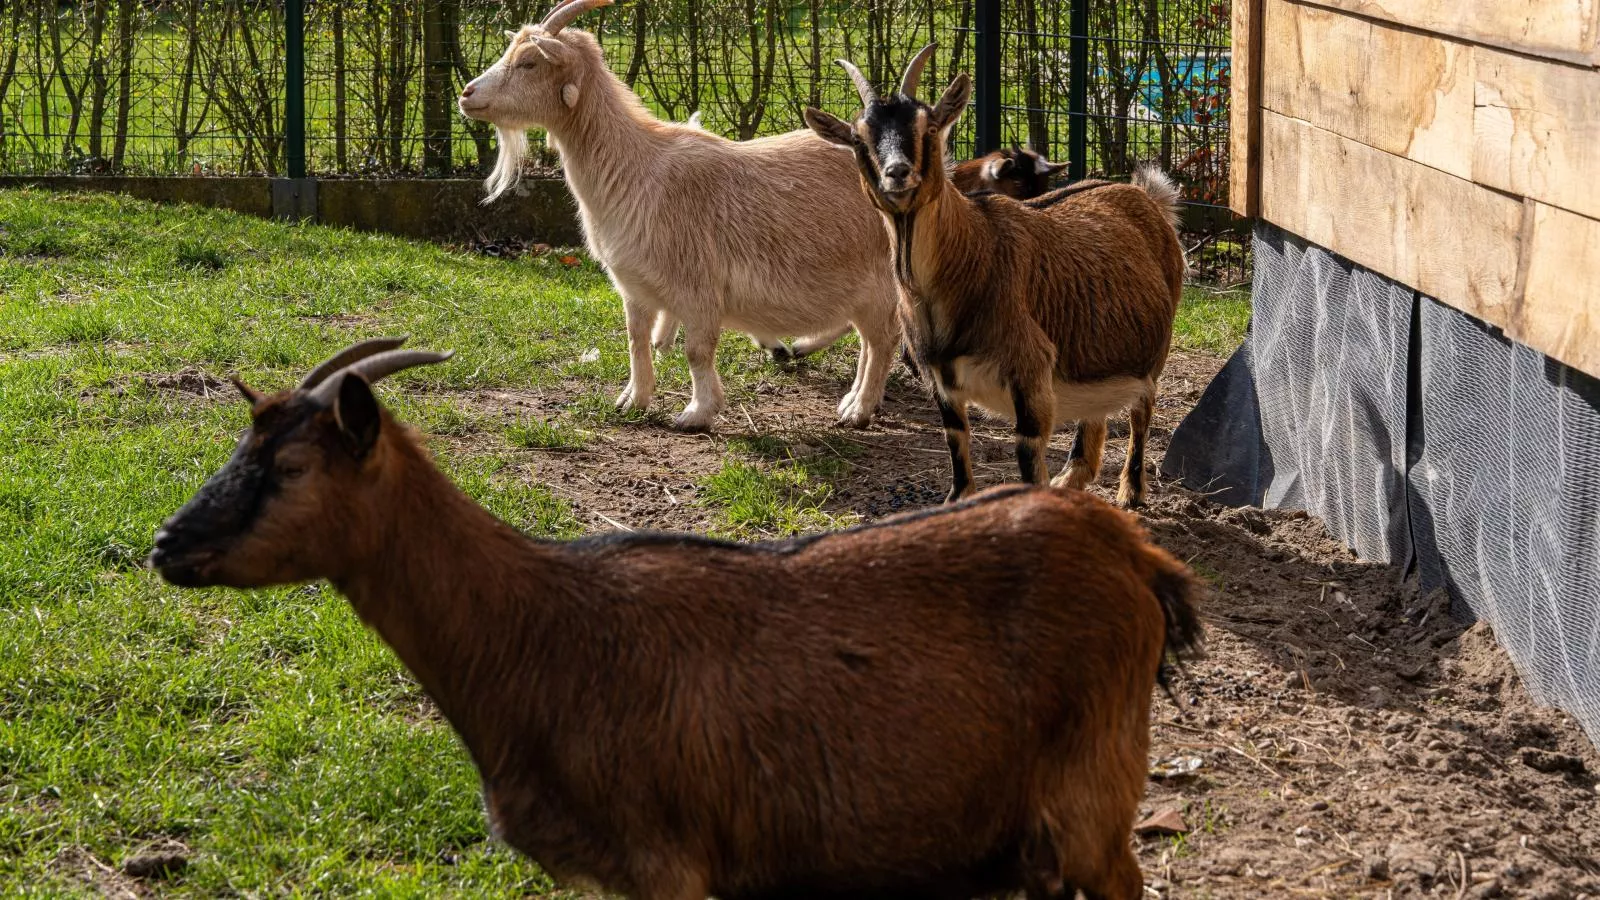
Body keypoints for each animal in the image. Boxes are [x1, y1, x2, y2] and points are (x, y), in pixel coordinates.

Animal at [147, 336, 1203, 896]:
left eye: (288, 467)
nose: (165, 544)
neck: (538, 631)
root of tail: (1134, 555)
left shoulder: (669, 865)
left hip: (1094, 793)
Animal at [457, 0, 902, 432]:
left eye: (529, 63)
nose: (465, 94)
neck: (634, 167)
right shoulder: (632, 284)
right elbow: (635, 339)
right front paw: (632, 400)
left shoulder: (698, 285)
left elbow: (696, 351)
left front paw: (697, 413)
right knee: (870, 340)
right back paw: (849, 393)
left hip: (880, 281)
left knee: (882, 340)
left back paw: (858, 408)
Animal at [806, 45, 1184, 506]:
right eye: (860, 138)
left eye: (929, 126)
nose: (897, 172)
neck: (970, 256)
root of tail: (1146, 196)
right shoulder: (942, 379)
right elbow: (956, 441)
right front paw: (956, 501)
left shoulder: (1030, 371)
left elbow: (1028, 456)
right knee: (1097, 412)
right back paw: (1072, 478)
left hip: (1153, 352)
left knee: (1142, 408)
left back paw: (1130, 491)